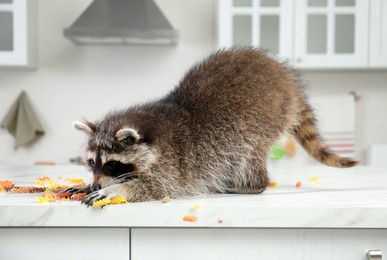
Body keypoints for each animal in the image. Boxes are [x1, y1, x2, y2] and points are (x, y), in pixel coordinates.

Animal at [70, 48, 360, 205]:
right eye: (92, 162)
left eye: (113, 164)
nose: (95, 185)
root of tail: (290, 81)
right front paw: (90, 184)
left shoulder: (176, 161)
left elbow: (159, 187)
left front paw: (117, 189)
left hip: (265, 118)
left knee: (247, 154)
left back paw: (252, 184)